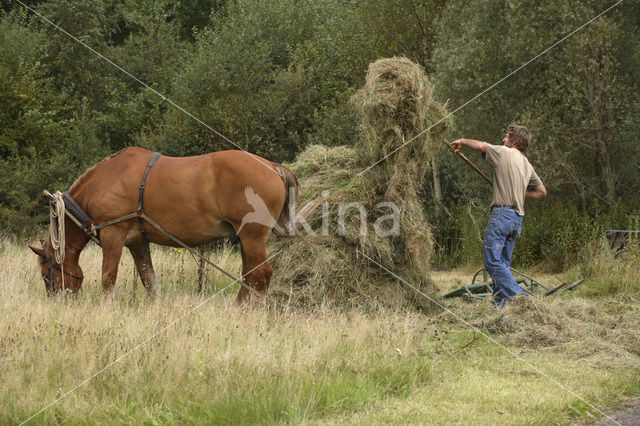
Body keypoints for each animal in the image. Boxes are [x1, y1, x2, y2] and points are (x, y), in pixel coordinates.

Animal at [28, 148, 298, 302]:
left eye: (46, 275)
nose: (58, 303)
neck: (104, 180)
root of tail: (272, 166)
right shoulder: (138, 242)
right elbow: (149, 281)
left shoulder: (113, 235)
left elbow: (108, 278)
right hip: (245, 239)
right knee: (249, 275)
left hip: (252, 237)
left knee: (260, 276)